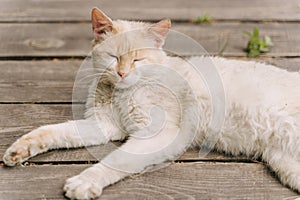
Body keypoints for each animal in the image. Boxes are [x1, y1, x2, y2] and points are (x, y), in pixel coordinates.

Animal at [2, 7, 300, 199]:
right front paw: (18, 150)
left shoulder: (160, 134)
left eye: (137, 60)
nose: (123, 73)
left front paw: (84, 183)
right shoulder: (102, 125)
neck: (121, 94)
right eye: (113, 57)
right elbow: (53, 131)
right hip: (287, 165)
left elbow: (116, 160)